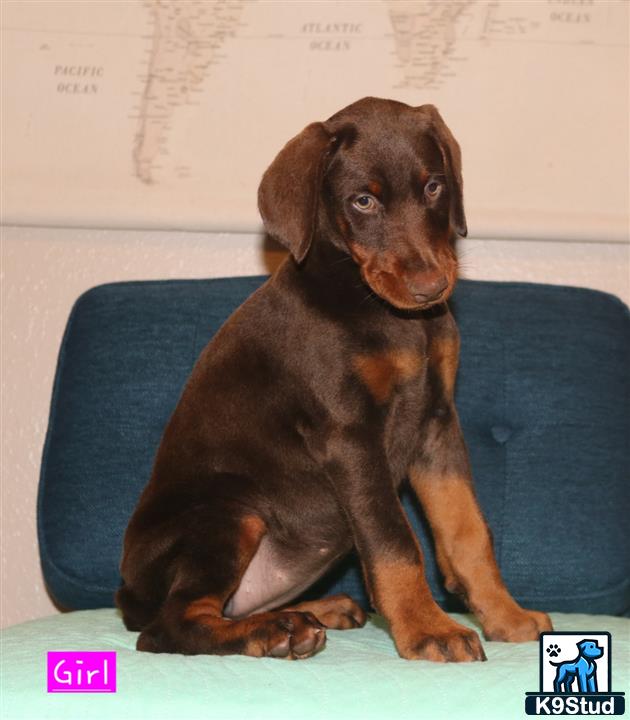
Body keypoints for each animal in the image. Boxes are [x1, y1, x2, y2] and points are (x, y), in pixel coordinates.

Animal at [117, 97, 552, 664]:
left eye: (434, 187)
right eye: (363, 200)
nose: (431, 287)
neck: (387, 316)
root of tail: (127, 593)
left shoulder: (437, 421)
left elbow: (467, 530)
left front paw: (505, 616)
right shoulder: (348, 435)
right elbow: (394, 539)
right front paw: (427, 628)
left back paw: (314, 611)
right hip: (228, 513)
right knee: (170, 625)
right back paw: (276, 631)